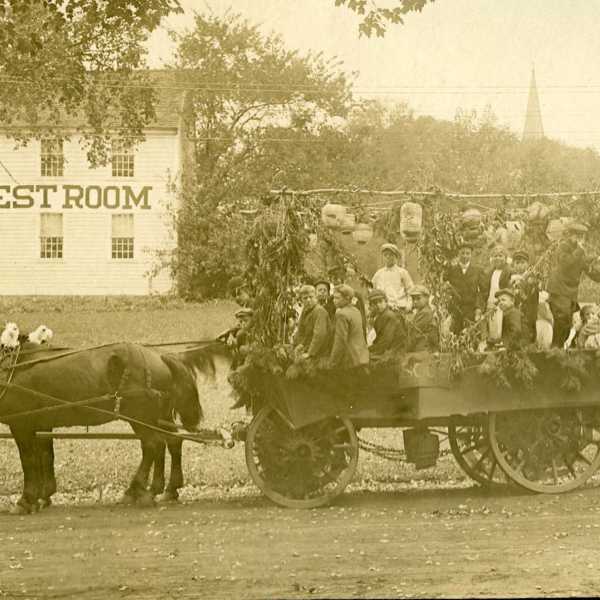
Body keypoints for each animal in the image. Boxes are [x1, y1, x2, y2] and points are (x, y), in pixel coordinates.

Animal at [0, 340, 230, 512]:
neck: (14, 367)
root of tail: (160, 357)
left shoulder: (21, 424)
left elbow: (28, 461)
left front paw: (26, 500)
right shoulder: (41, 423)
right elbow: (45, 457)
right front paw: (44, 495)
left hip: (139, 414)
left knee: (153, 445)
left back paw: (138, 490)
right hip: (156, 416)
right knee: (170, 441)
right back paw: (165, 489)